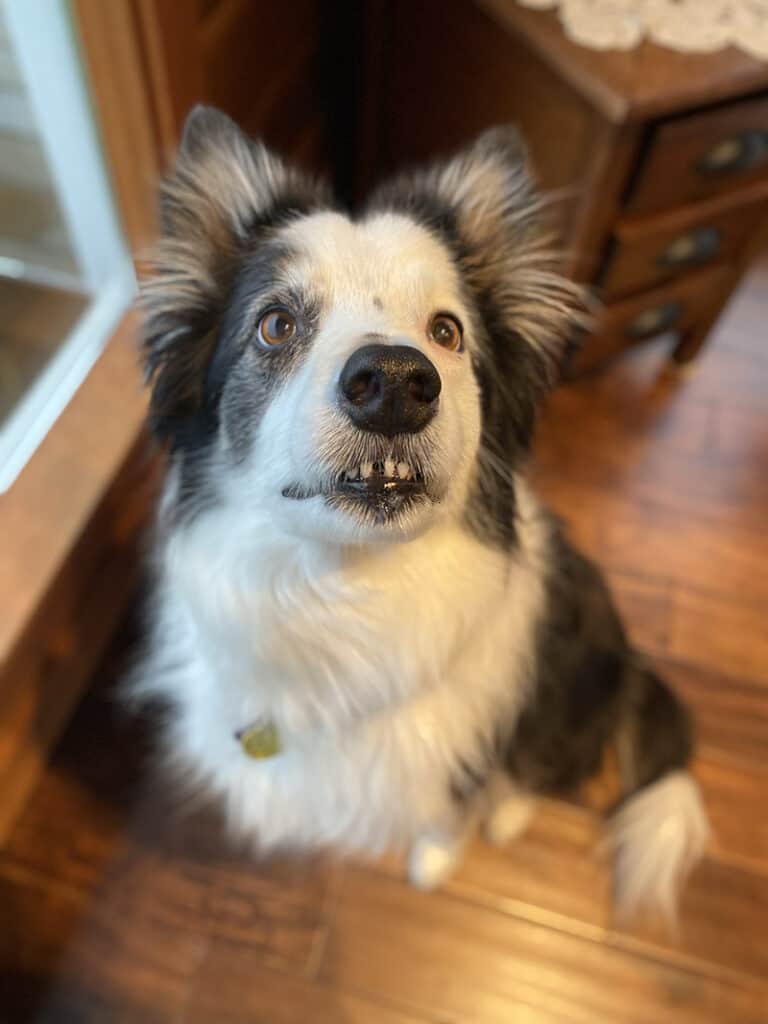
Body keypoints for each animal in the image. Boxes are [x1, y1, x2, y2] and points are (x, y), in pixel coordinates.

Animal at [132, 105, 708, 921]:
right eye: (276, 325)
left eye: (446, 331)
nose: (396, 383)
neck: (348, 594)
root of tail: (632, 666)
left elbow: (449, 808)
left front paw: (435, 859)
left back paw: (509, 810)